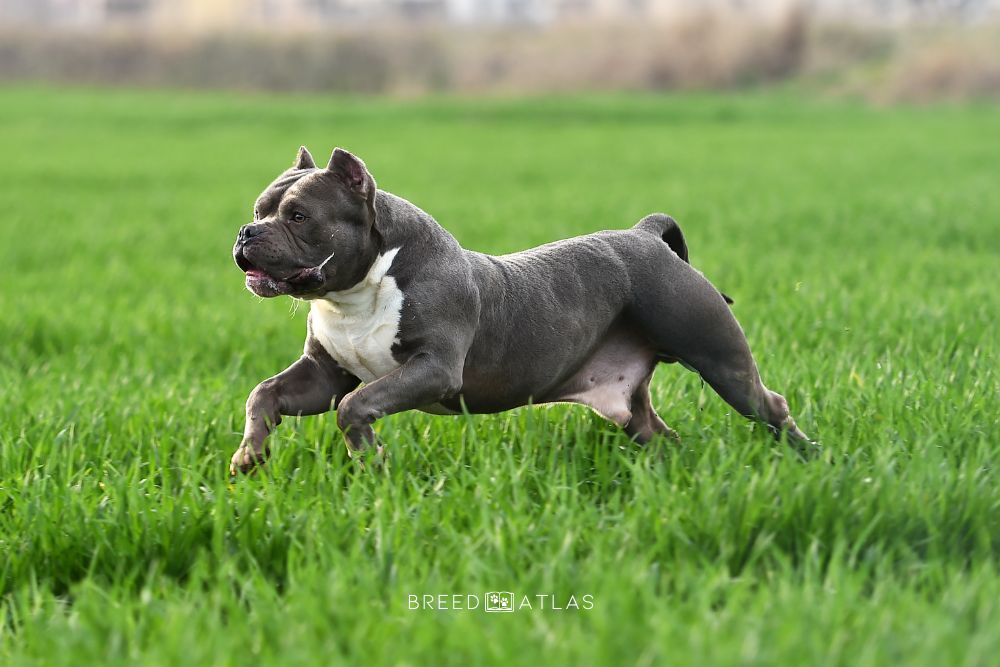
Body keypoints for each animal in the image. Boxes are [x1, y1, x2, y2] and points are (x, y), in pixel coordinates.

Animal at [230, 146, 808, 474]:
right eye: (259, 209)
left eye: (299, 216)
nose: (246, 232)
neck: (357, 293)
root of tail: (645, 235)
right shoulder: (323, 375)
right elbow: (266, 393)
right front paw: (249, 455)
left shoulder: (432, 369)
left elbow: (356, 406)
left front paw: (370, 461)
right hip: (631, 408)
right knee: (661, 435)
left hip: (717, 356)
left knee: (770, 406)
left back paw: (810, 459)